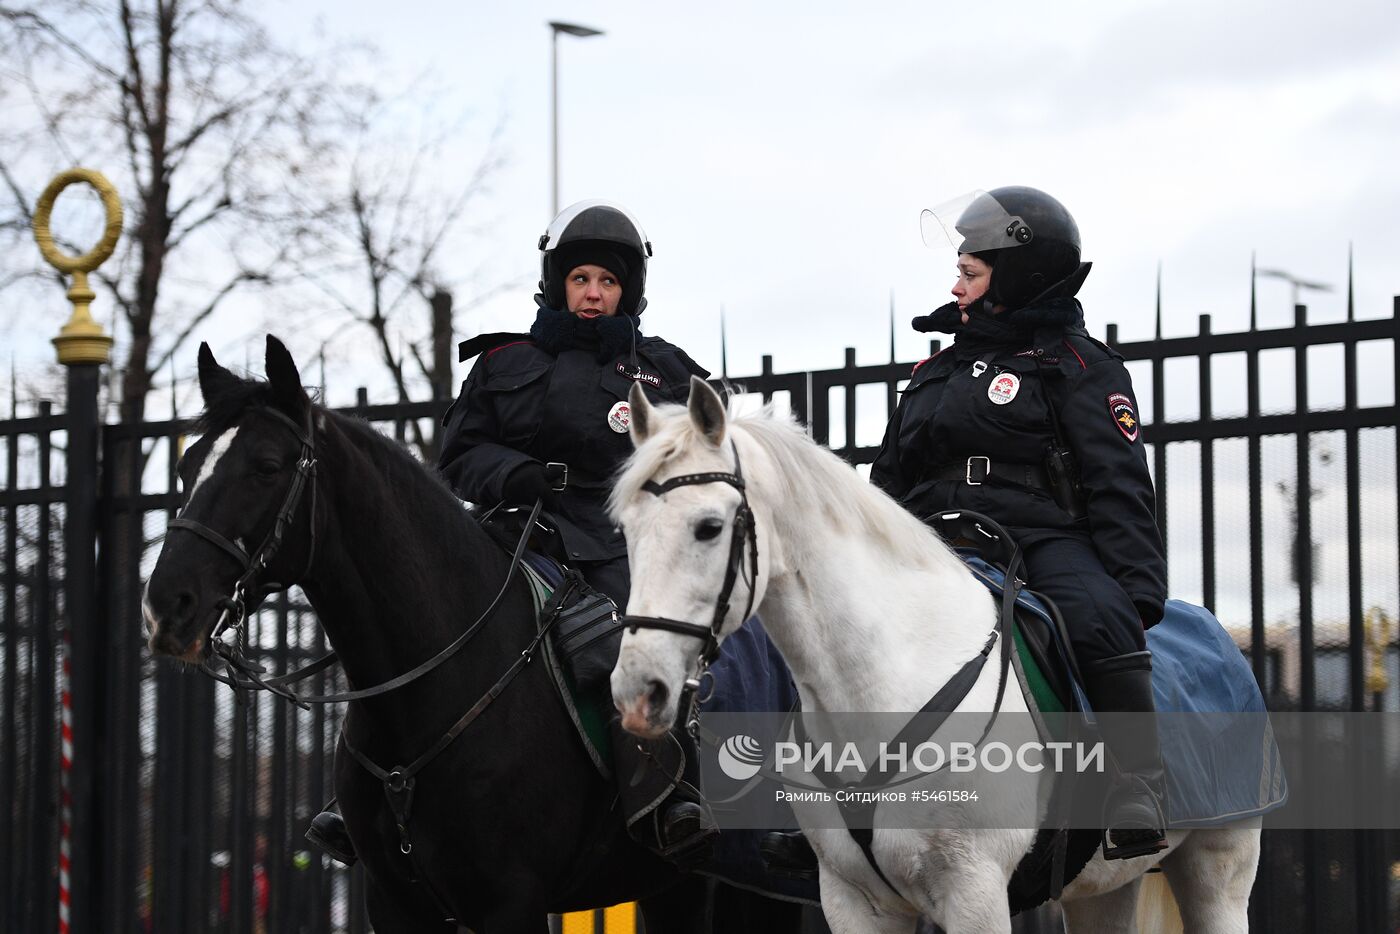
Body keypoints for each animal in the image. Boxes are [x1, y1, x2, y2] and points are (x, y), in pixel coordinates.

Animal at [143, 340, 806, 934]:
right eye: (185, 465)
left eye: (266, 468)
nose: (166, 607)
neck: (426, 693)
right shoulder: (397, 905)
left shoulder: (510, 903)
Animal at [607, 378, 1265, 934]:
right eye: (627, 531)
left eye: (709, 527)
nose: (638, 690)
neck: (883, 682)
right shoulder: (853, 903)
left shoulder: (975, 895)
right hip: (1105, 888)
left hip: (1220, 867)